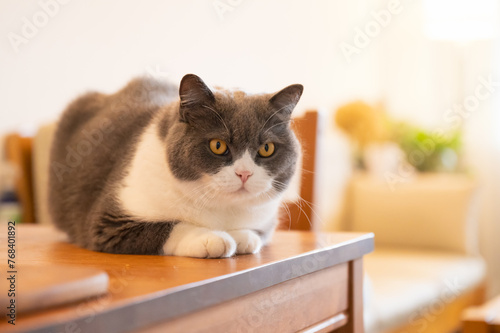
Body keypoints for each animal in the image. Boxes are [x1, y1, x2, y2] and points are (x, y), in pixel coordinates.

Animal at [48, 74, 302, 256]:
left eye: (266, 148)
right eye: (218, 145)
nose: (244, 173)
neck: (220, 209)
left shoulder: (265, 221)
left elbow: (255, 233)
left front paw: (243, 237)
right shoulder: (108, 222)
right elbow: (168, 226)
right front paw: (212, 238)